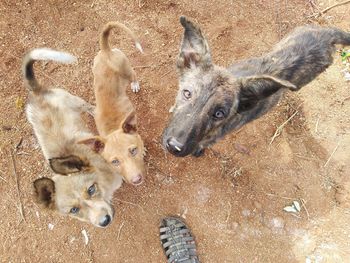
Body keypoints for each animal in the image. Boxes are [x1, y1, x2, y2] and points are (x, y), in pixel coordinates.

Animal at [23, 48, 123, 229]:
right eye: (74, 210)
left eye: (91, 190)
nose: (104, 221)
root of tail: (36, 91)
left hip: (75, 101)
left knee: (90, 107)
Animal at [78, 22, 146, 186]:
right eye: (114, 162)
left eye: (133, 150)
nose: (136, 180)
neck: (113, 129)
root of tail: (106, 50)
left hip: (126, 69)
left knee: (134, 74)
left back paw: (135, 84)